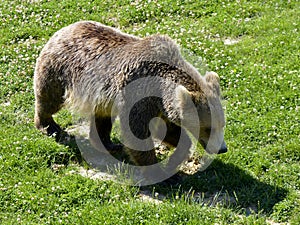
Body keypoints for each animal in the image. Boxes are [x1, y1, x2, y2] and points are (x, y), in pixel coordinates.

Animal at [34, 21, 226, 172]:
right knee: (49, 99)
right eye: (208, 127)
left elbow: (166, 129)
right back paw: (48, 125)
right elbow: (137, 132)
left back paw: (108, 143)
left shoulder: (158, 104)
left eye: (222, 124)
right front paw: (161, 174)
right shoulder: (138, 94)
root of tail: (65, 28)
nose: (222, 149)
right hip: (59, 70)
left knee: (102, 116)